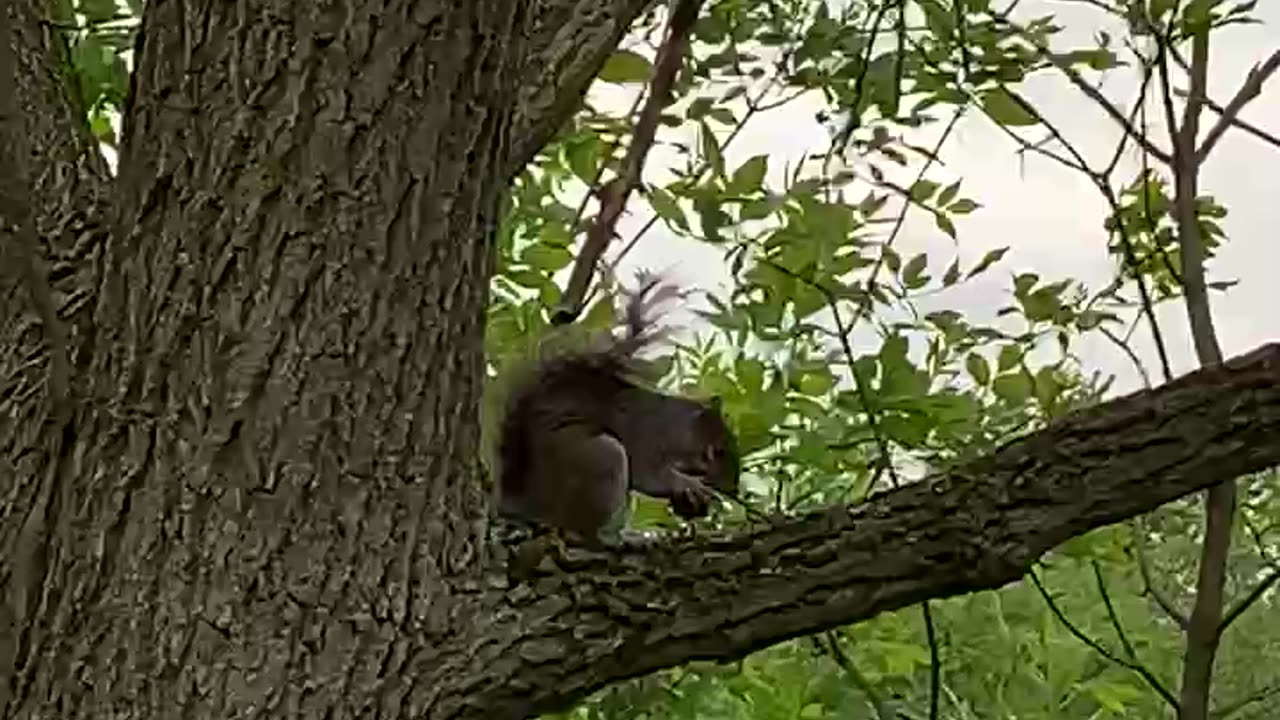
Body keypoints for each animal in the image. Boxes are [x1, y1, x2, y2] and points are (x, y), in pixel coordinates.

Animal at [494, 275, 740, 544]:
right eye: (718, 451)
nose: (734, 489)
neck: (675, 428)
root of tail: (525, 503)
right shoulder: (646, 438)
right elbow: (650, 475)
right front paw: (689, 484)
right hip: (601, 460)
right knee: (579, 529)